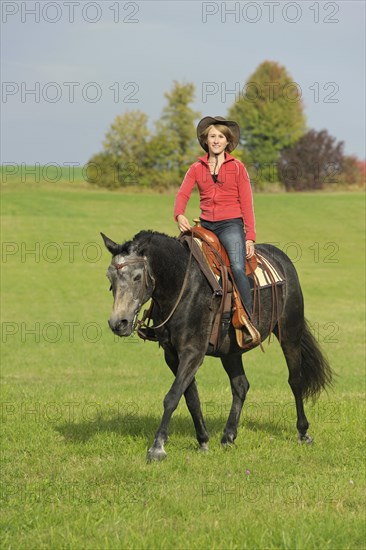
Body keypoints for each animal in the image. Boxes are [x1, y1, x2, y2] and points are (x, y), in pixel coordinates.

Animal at [101, 231, 334, 464]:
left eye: (137, 277)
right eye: (110, 278)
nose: (118, 323)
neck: (183, 284)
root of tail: (282, 259)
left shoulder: (193, 352)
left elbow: (172, 396)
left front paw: (157, 447)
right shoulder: (173, 356)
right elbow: (191, 398)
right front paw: (203, 441)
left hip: (289, 334)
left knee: (295, 380)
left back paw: (303, 432)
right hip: (231, 351)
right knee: (241, 385)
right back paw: (228, 436)